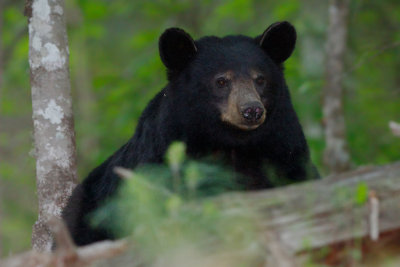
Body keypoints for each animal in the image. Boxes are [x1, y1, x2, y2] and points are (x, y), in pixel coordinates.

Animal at [62, 21, 318, 247]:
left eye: (261, 79)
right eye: (221, 81)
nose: (252, 110)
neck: (233, 144)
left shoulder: (284, 150)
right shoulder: (160, 161)